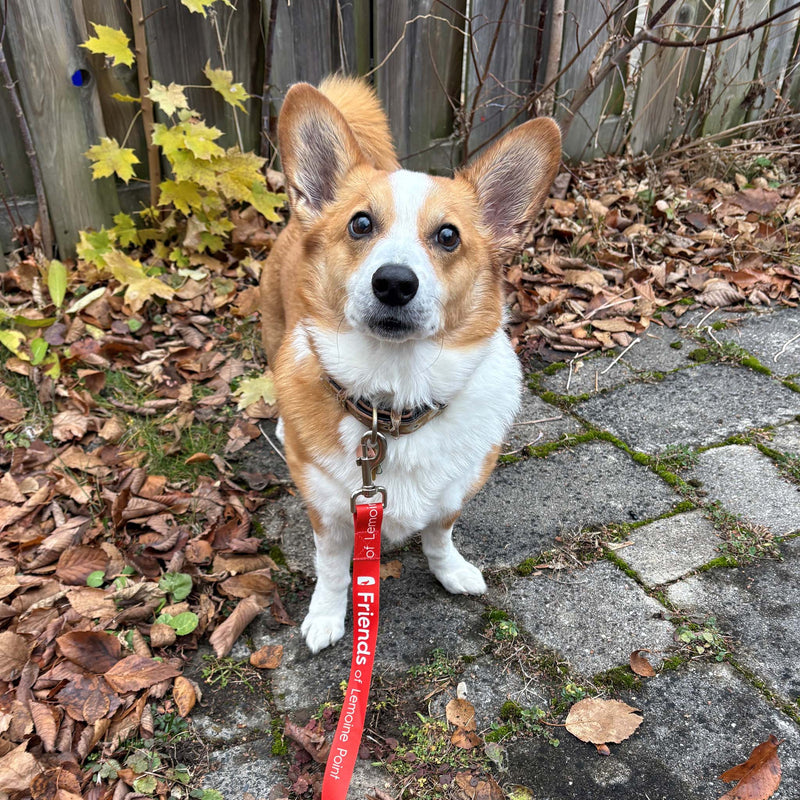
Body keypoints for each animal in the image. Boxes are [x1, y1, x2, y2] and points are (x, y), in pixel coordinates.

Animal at [260, 75, 560, 652]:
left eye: (448, 236)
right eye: (360, 224)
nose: (395, 282)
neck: (392, 401)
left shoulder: (452, 495)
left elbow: (439, 537)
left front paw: (452, 571)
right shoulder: (331, 514)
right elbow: (332, 570)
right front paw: (327, 617)